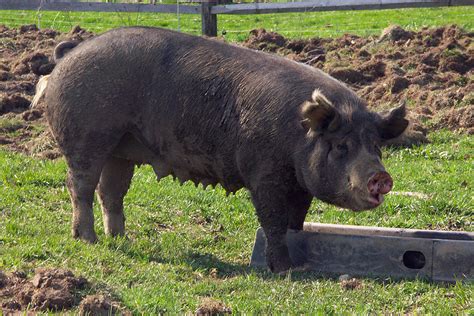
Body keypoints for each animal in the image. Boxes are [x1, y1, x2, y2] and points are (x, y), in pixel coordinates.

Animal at [33, 27, 408, 272]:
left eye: (376, 146)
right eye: (341, 146)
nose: (381, 177)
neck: (297, 139)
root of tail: (69, 53)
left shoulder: (300, 184)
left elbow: (295, 221)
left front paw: (297, 264)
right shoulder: (264, 174)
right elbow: (273, 221)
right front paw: (283, 270)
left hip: (121, 148)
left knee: (110, 191)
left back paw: (122, 240)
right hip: (86, 136)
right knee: (79, 186)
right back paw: (88, 240)